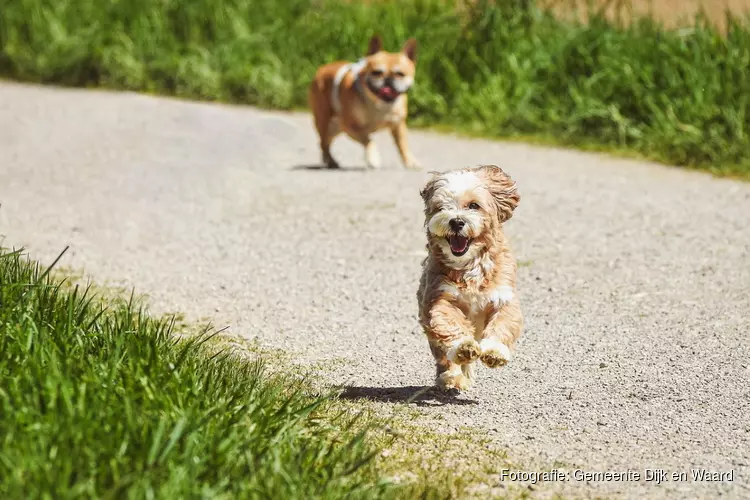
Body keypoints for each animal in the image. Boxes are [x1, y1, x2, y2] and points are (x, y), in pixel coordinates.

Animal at [306, 34, 424, 170]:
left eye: (400, 74)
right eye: (376, 72)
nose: (388, 80)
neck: (379, 104)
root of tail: (322, 69)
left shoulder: (398, 126)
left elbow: (402, 145)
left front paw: (410, 161)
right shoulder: (351, 126)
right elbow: (368, 139)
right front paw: (373, 158)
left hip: (335, 128)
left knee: (325, 142)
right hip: (325, 122)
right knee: (323, 142)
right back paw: (331, 161)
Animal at [418, 166, 524, 392]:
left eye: (474, 205)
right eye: (441, 207)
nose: (457, 221)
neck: (469, 265)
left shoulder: (504, 297)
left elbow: (503, 323)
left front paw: (495, 351)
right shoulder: (439, 298)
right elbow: (449, 323)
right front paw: (463, 348)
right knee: (443, 356)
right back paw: (452, 376)